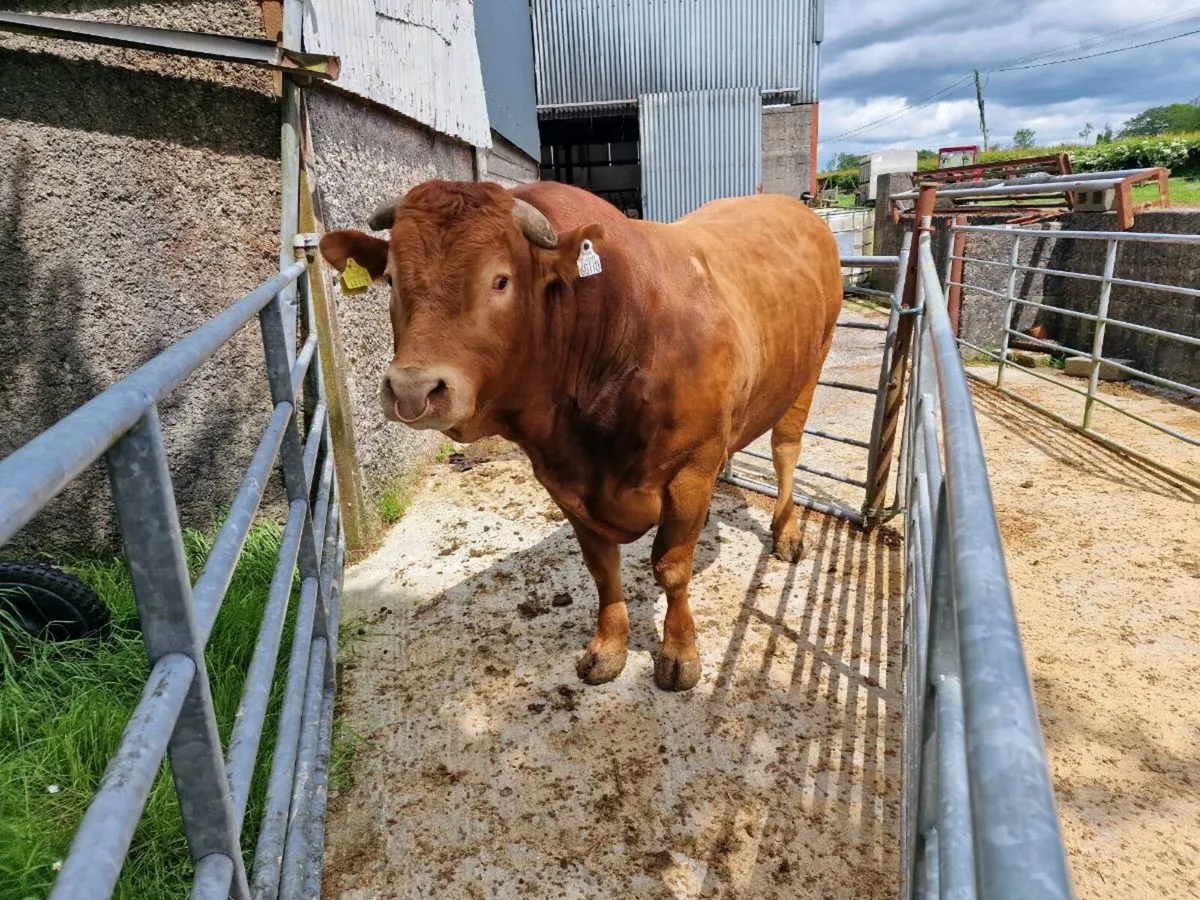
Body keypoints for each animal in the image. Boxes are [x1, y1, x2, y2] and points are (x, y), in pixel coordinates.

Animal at [318, 180, 842, 692]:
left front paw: (679, 653)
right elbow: (602, 570)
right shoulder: (563, 480)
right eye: (391, 279)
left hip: (811, 367)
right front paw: (609, 647)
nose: (413, 388)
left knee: (786, 449)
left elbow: (672, 568)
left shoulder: (691, 469)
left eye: (501, 280)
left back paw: (786, 531)